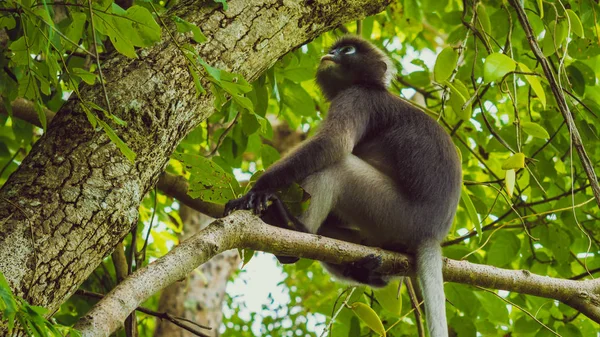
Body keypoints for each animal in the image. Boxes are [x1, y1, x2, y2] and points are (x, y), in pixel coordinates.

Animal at [224, 36, 460, 336]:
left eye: (347, 51)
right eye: (336, 49)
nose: (331, 54)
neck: (370, 86)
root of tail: (432, 233)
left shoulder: (358, 98)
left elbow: (333, 143)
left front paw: (258, 189)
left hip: (395, 214)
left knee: (339, 167)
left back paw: (293, 228)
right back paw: (363, 271)